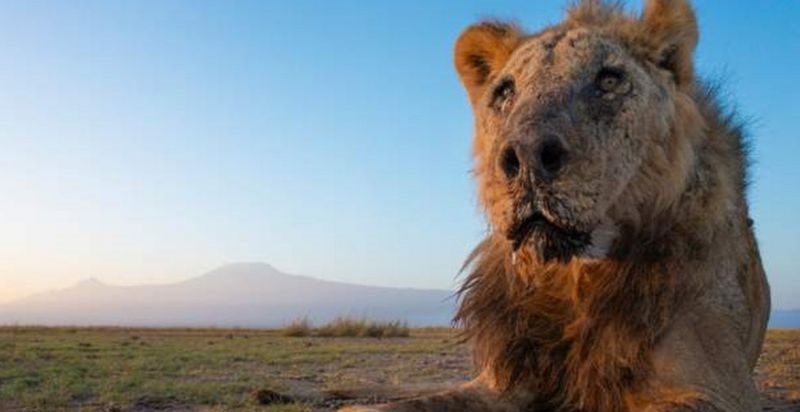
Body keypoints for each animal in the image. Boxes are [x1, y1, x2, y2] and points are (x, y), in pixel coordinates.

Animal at [342, 0, 770, 411]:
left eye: (609, 80)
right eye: (504, 92)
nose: (527, 156)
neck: (573, 278)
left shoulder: (717, 388)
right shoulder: (504, 380)